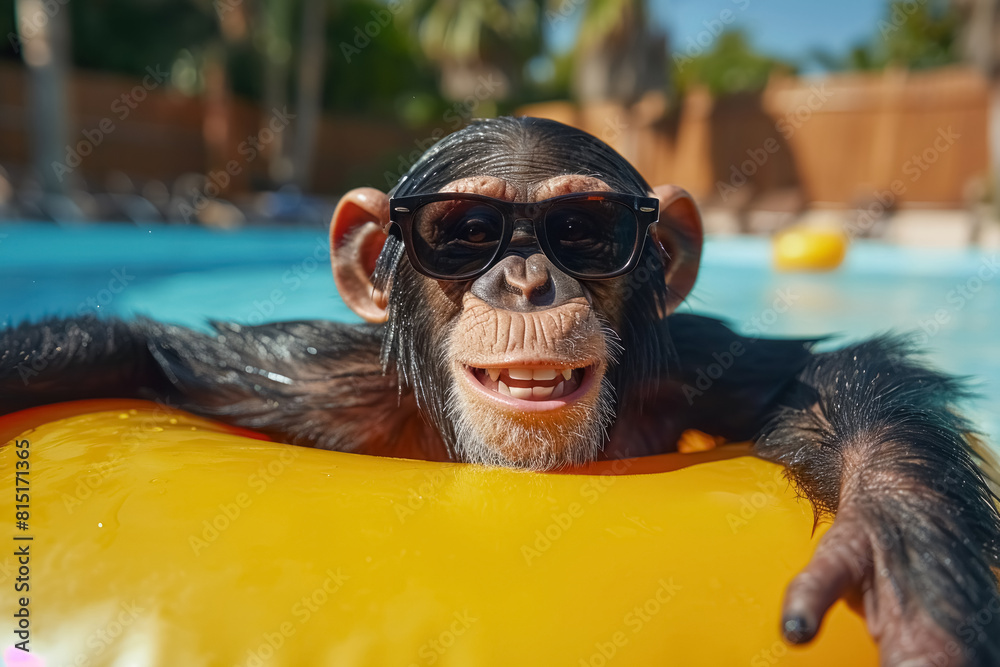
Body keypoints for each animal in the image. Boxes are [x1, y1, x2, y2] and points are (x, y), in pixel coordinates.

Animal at [1, 117, 998, 665]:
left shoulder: (693, 365)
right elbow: (148, 354)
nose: (524, 278)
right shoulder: (314, 380)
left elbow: (813, 381)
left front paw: (896, 556)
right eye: (465, 229)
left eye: (584, 228)